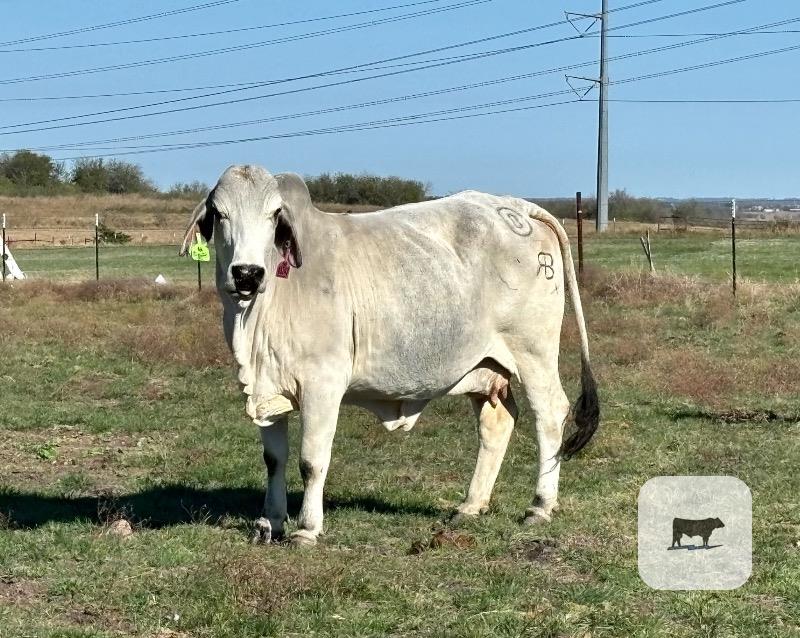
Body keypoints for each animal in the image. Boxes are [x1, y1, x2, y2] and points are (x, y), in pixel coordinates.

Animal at [180, 165, 599, 546]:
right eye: (219, 213)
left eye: (273, 214)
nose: (247, 274)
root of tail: (517, 207)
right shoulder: (267, 388)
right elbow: (274, 460)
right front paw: (269, 523)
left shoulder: (322, 384)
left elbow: (311, 461)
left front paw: (306, 528)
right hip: (485, 365)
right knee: (497, 422)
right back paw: (470, 505)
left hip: (534, 351)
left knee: (550, 415)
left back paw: (540, 505)